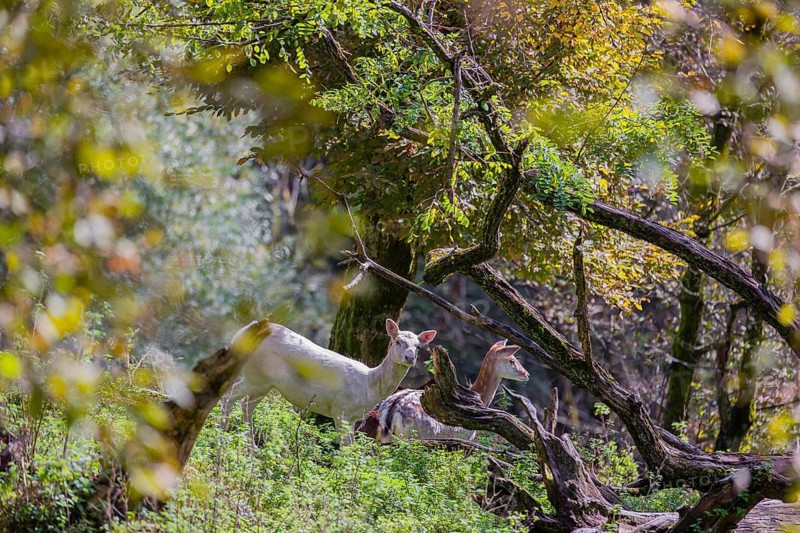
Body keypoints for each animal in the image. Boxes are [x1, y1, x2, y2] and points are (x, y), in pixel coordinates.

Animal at [221, 318, 437, 446]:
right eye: (398, 341)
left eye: (418, 346)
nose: (410, 357)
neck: (369, 387)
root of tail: (239, 334)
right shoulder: (341, 409)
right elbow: (345, 447)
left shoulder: (353, 417)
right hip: (255, 375)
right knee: (230, 395)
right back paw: (221, 434)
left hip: (263, 382)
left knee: (246, 404)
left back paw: (251, 448)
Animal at [373, 339, 528, 443]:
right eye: (512, 360)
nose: (526, 374)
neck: (480, 397)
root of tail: (391, 411)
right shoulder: (464, 437)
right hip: (414, 435)